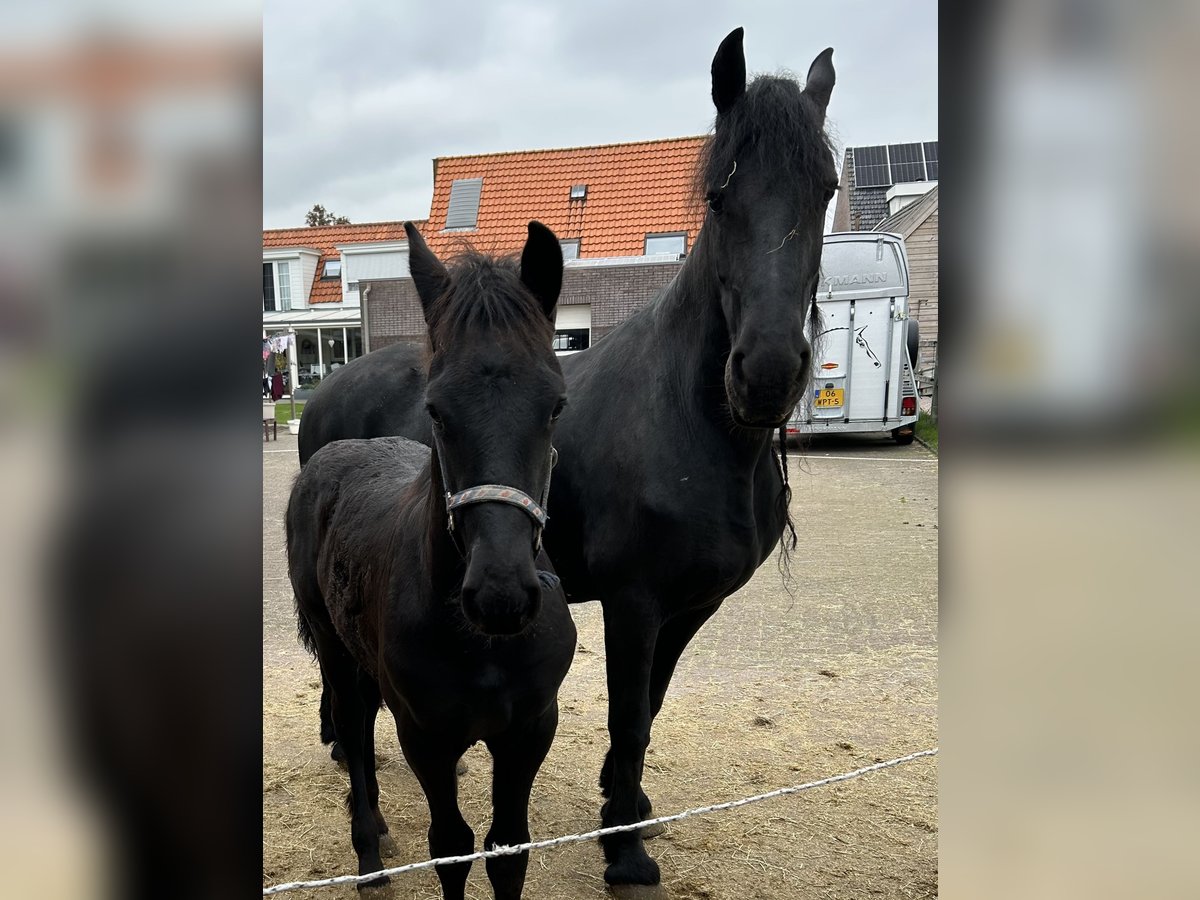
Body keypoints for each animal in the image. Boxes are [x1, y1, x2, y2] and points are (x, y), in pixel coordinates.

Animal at [286, 221, 577, 899]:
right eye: (435, 409)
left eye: (555, 404)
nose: (501, 594)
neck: (484, 644)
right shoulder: (426, 734)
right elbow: (451, 847)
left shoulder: (529, 729)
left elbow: (508, 849)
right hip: (335, 648)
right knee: (353, 729)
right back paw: (369, 853)